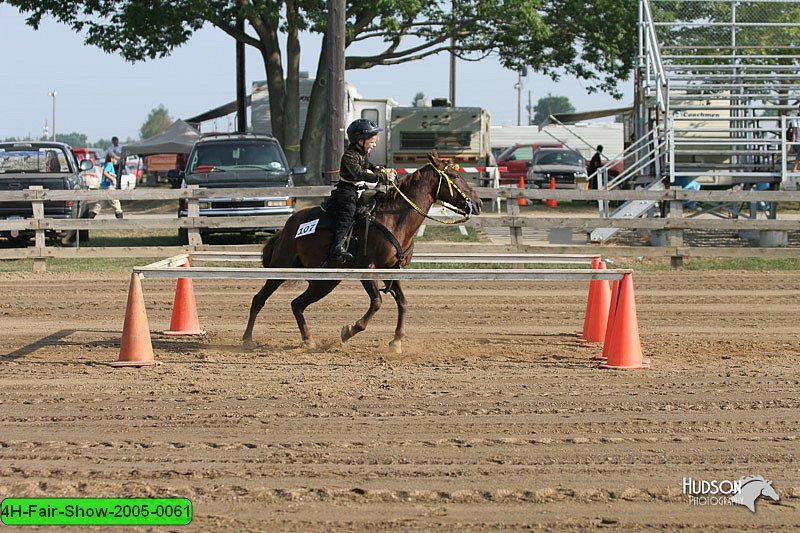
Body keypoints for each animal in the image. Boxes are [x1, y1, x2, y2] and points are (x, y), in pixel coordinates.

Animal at [242, 152, 482, 352]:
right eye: (454, 175)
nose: (478, 203)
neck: (393, 219)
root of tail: (287, 227)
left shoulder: (392, 271)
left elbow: (403, 302)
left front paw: (396, 341)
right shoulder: (367, 269)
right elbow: (377, 301)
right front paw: (349, 331)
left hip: (324, 282)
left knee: (297, 304)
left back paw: (308, 340)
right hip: (281, 267)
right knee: (259, 299)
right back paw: (247, 339)